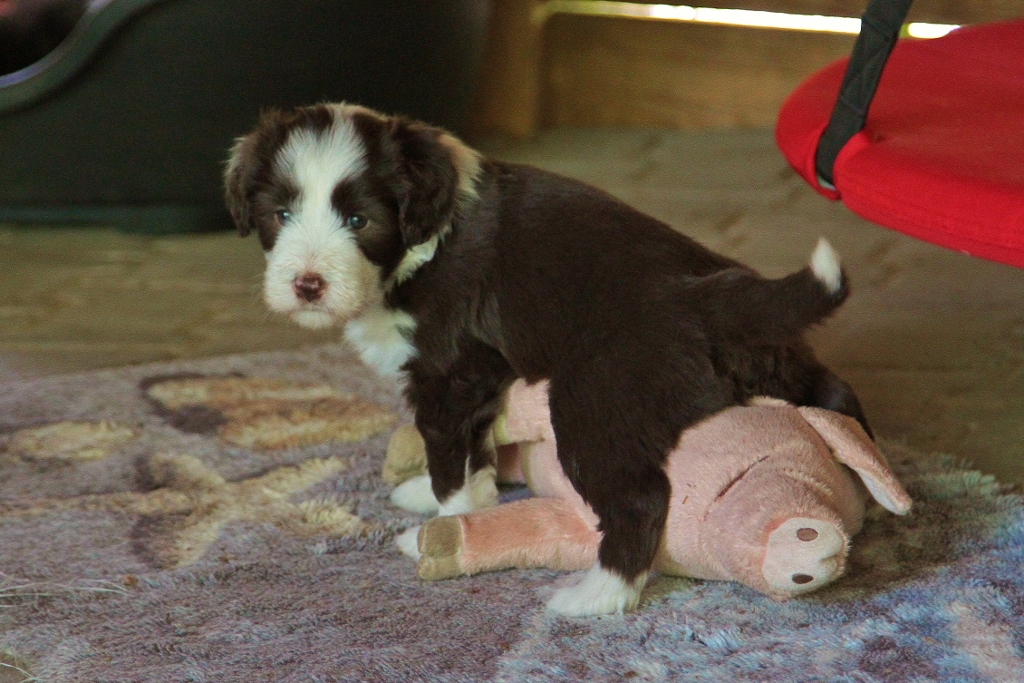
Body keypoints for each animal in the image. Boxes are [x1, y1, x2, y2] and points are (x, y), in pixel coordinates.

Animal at [226, 102, 872, 618]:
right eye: (281, 215)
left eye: (360, 221)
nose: (307, 284)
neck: (423, 242)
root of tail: (705, 298)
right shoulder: (481, 377)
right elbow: (475, 455)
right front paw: (440, 495)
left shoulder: (449, 373)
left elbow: (450, 461)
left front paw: (444, 522)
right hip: (780, 364)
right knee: (838, 400)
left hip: (594, 407)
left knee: (639, 500)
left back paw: (595, 597)